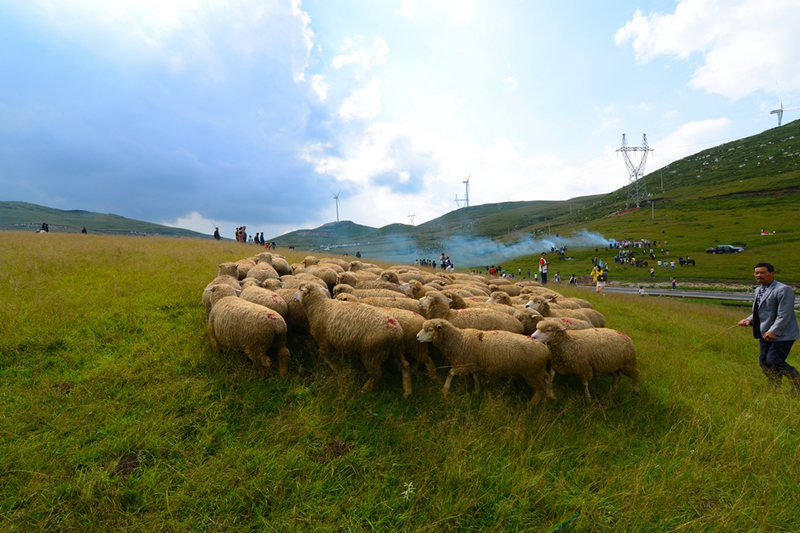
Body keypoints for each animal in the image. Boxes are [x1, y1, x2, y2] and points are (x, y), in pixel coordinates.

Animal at [416, 318, 552, 406]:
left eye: (430, 329)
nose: (417, 337)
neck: (458, 340)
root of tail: (546, 350)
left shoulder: (465, 365)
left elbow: (450, 373)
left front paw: (444, 391)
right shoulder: (473, 364)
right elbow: (475, 377)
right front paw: (476, 391)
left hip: (531, 372)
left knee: (540, 388)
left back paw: (531, 405)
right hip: (538, 371)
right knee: (546, 381)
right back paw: (549, 398)